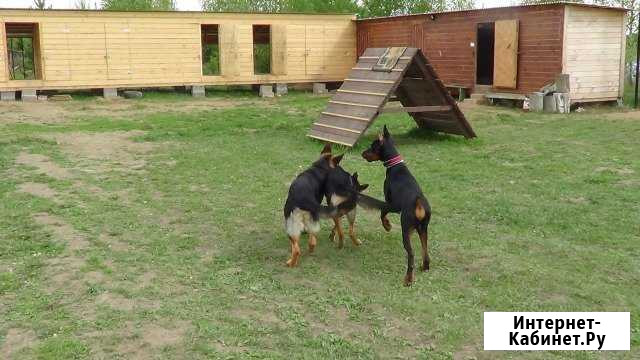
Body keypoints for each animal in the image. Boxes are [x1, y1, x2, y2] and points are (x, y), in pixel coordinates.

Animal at [362, 125, 432, 286]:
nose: (362, 153)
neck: (396, 165)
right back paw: (424, 267)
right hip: (423, 229)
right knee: (425, 250)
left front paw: (387, 226)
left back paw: (408, 279)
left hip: (406, 229)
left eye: (372, 146)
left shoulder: (391, 203)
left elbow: (382, 213)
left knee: (411, 254)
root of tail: (418, 203)